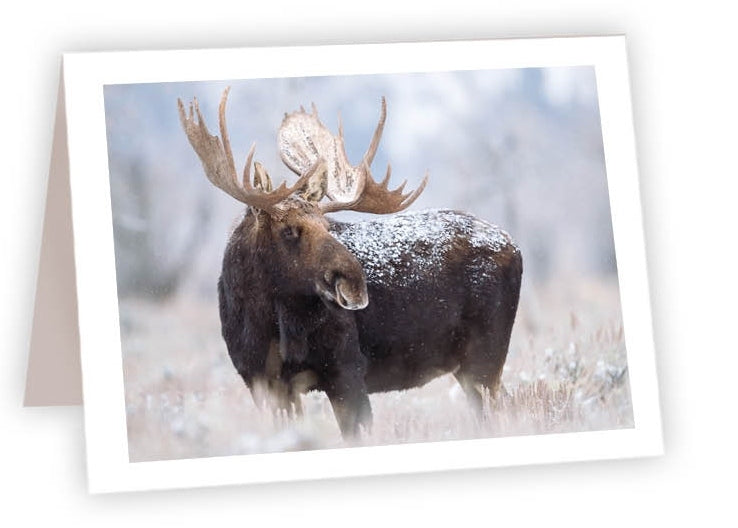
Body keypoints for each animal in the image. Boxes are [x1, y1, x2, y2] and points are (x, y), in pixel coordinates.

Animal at [178, 87, 523, 438]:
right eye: (289, 230)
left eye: (327, 226)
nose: (354, 281)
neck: (265, 324)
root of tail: (513, 245)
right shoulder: (262, 383)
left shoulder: (347, 370)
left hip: (485, 355)